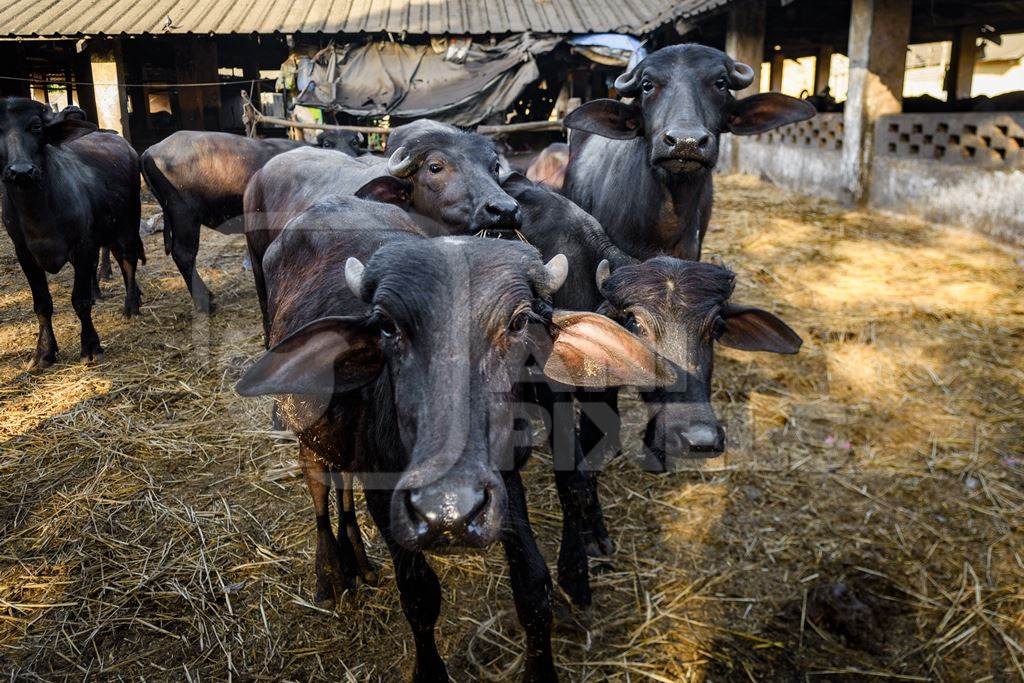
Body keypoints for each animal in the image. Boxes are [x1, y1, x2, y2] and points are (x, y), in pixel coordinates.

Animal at [0, 96, 145, 368]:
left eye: (36, 126)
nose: (21, 171)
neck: (38, 212)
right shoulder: (24, 254)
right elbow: (42, 304)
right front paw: (44, 352)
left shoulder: (84, 247)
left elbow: (81, 300)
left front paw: (90, 347)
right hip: (109, 229)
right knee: (120, 259)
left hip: (129, 222)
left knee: (129, 259)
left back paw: (131, 305)